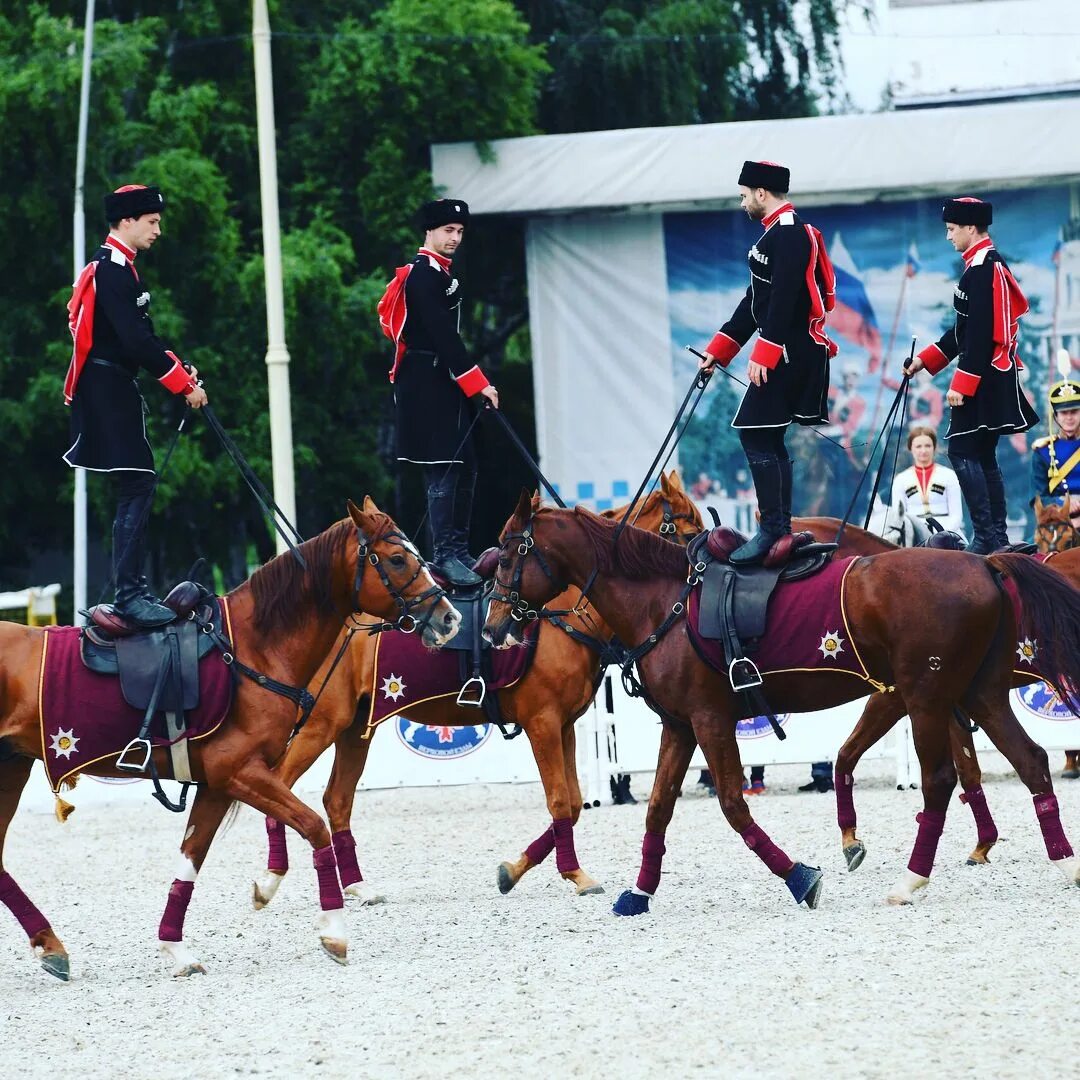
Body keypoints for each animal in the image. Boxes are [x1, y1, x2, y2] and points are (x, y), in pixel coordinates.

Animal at [0, 496, 460, 980]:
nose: (449, 618)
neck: (253, 649)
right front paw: (334, 931)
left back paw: (50, 945)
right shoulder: (240, 772)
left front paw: (175, 948)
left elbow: (191, 859)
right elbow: (315, 827)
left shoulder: (217, 785)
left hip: (11, 768)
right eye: (397, 558)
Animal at [249, 468, 704, 907]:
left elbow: (573, 804)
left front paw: (515, 870)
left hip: (356, 726)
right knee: (279, 786)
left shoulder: (565, 725)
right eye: (685, 532)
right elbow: (559, 801)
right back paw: (271, 880)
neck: (558, 615)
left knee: (336, 801)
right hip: (322, 724)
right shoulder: (542, 723)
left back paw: (358, 887)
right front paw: (573, 874)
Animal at [486, 494, 1080, 911]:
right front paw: (639, 893)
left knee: (940, 780)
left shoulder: (710, 720)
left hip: (928, 698)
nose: (493, 627)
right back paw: (1064, 863)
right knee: (1031, 762)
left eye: (509, 551)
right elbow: (658, 808)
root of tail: (984, 565)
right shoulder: (680, 725)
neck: (666, 600)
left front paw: (799, 876)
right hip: (977, 694)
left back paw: (912, 879)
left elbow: (732, 803)